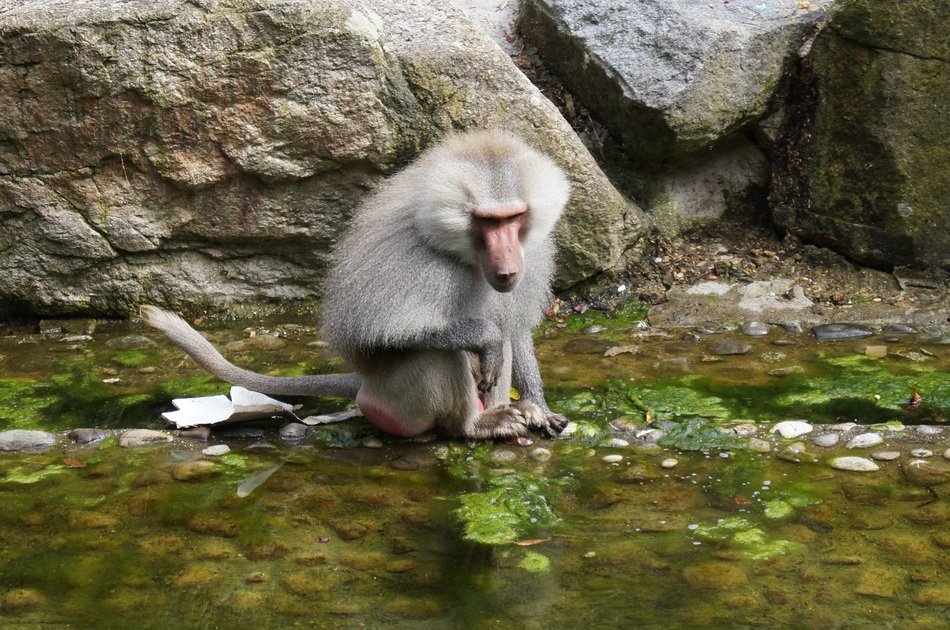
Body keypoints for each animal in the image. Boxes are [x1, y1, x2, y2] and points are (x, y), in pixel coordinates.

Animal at [141, 129, 570, 440]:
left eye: (513, 217)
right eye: (486, 221)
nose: (508, 268)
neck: (463, 254)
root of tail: (366, 387)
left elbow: (516, 330)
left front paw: (540, 408)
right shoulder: (411, 262)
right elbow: (381, 334)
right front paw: (484, 339)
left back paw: (509, 411)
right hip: (398, 403)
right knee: (438, 353)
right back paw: (475, 426)